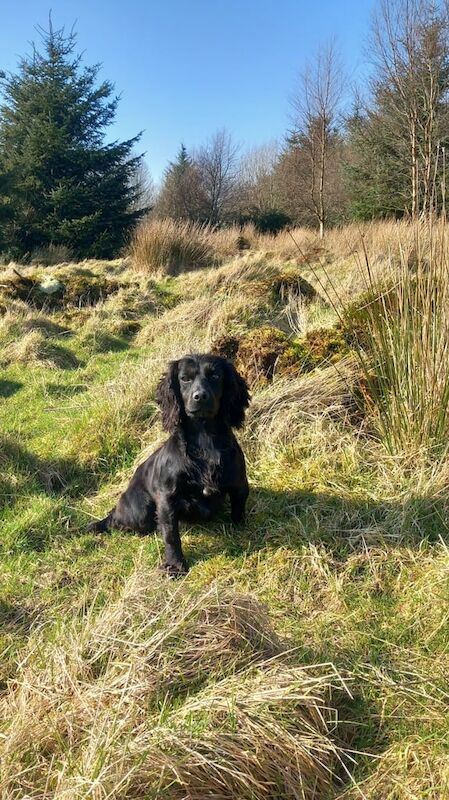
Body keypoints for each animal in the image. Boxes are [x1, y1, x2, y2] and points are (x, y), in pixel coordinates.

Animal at [87, 354, 248, 576]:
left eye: (215, 376)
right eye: (185, 378)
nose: (200, 396)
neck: (205, 441)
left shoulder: (240, 484)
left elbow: (239, 511)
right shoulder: (167, 498)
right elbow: (171, 535)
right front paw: (175, 565)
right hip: (139, 511)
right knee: (117, 521)